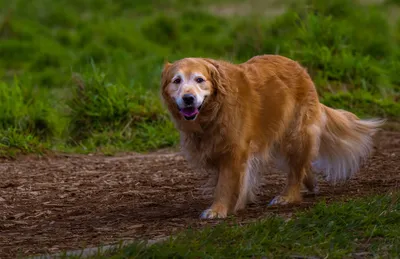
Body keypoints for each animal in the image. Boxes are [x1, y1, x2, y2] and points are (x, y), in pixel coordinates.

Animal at [159, 54, 384, 219]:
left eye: (199, 80)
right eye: (177, 81)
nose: (188, 98)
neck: (215, 110)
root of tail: (300, 68)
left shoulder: (234, 152)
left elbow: (224, 184)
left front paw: (218, 209)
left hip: (296, 135)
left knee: (295, 171)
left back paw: (287, 196)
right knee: (302, 165)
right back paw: (310, 183)